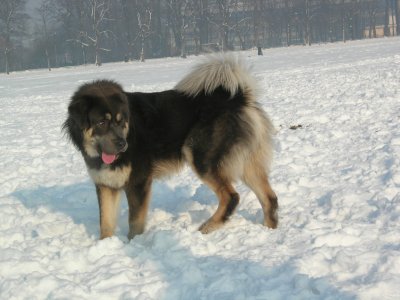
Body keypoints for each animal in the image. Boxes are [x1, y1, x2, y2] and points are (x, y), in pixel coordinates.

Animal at [63, 54, 278, 239]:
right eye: (101, 122)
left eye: (120, 120)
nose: (123, 144)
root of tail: (239, 98)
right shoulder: (105, 185)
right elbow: (105, 224)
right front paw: (107, 245)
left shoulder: (138, 183)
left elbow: (135, 222)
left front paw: (135, 244)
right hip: (247, 164)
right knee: (270, 198)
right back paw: (269, 230)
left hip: (202, 158)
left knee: (232, 197)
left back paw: (207, 227)